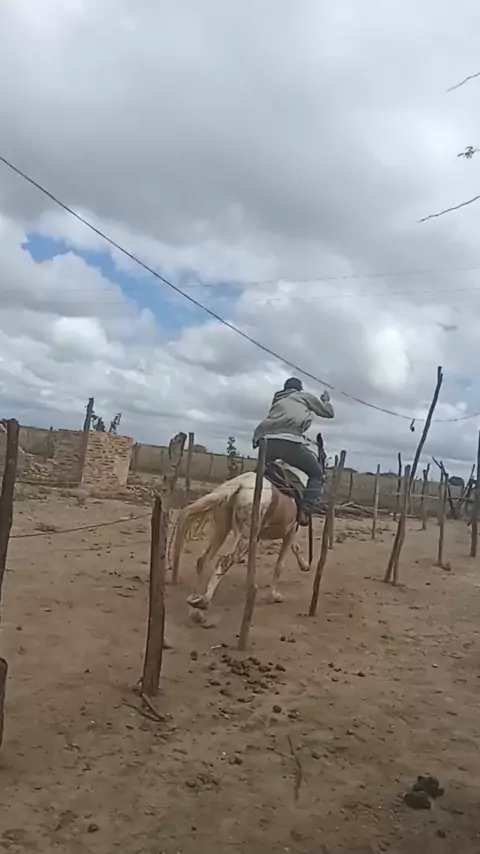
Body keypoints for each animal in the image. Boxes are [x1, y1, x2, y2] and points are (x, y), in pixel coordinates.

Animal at [170, 465, 312, 624]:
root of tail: (240, 484)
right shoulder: (290, 532)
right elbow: (280, 565)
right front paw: (273, 596)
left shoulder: (269, 536)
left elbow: (292, 549)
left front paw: (304, 565)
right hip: (243, 537)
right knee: (224, 561)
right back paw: (203, 602)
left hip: (222, 530)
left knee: (203, 560)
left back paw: (196, 610)